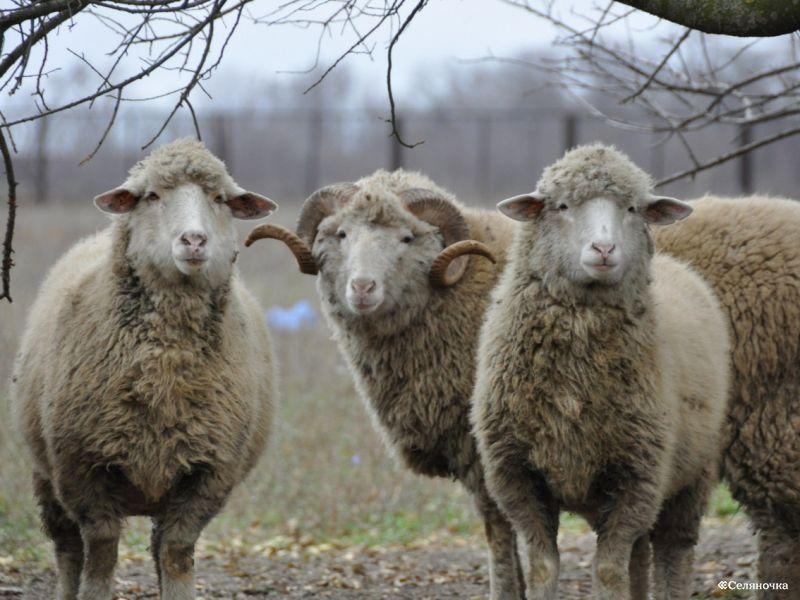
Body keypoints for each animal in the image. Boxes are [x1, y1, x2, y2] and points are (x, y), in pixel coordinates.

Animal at [10, 138, 277, 600]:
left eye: (220, 198)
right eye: (152, 196)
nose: (194, 239)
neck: (165, 371)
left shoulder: (208, 474)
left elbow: (177, 554)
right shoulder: (83, 470)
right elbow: (100, 555)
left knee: (155, 548)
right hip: (46, 477)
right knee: (67, 549)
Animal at [471, 143, 731, 600]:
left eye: (631, 208)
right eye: (561, 206)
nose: (604, 249)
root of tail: (679, 266)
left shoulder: (637, 475)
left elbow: (608, 571)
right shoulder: (517, 475)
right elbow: (543, 568)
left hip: (690, 475)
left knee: (673, 551)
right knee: (640, 555)